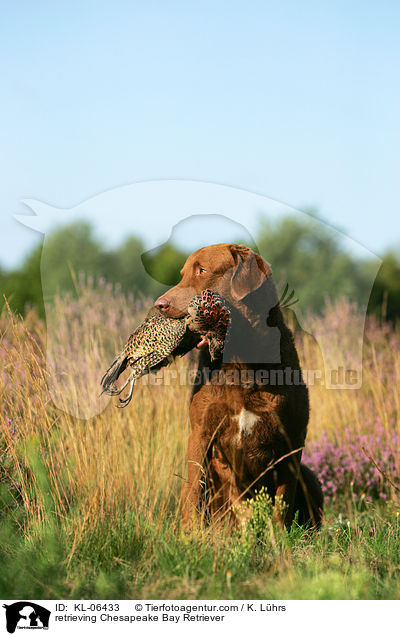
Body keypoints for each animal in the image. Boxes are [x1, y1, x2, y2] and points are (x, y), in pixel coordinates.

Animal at [155, 242, 324, 528]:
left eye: (202, 270)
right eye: (182, 273)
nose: (160, 305)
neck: (242, 364)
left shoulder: (292, 438)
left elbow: (283, 500)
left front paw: (279, 536)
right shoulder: (200, 431)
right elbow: (195, 489)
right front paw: (191, 534)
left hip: (310, 476)